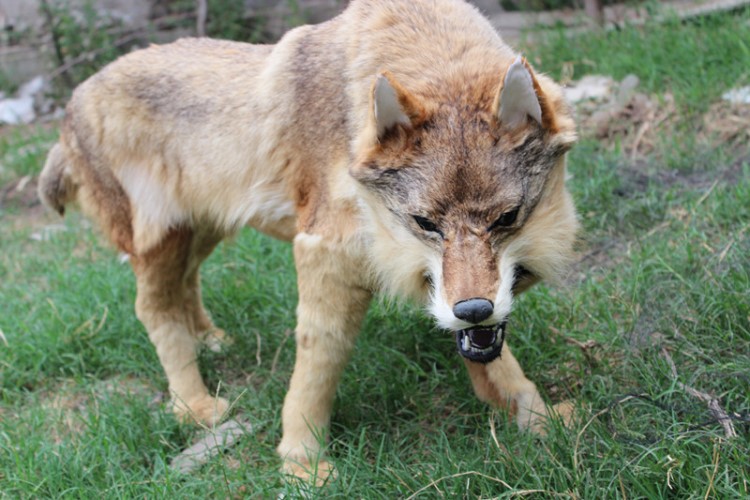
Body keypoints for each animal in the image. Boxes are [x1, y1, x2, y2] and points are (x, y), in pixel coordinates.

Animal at [38, 0, 580, 484]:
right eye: (425, 223)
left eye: (507, 218)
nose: (472, 309)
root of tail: (70, 106)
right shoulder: (325, 254)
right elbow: (318, 364)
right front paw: (303, 463)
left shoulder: (459, 299)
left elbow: (497, 358)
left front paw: (540, 418)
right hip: (163, 241)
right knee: (153, 308)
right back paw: (193, 406)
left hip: (204, 230)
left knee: (185, 284)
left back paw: (209, 340)